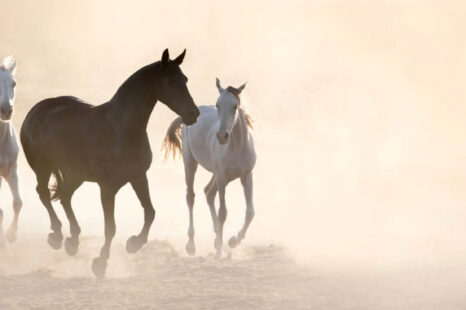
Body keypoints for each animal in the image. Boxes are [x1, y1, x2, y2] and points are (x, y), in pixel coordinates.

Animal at [20, 49, 198, 278]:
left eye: (185, 79)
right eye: (170, 81)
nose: (194, 113)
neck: (121, 129)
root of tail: (36, 111)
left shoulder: (138, 177)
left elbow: (150, 212)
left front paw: (134, 244)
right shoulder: (107, 188)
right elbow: (110, 227)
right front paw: (101, 263)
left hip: (76, 175)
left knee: (65, 196)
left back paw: (73, 241)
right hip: (43, 168)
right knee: (43, 193)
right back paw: (58, 235)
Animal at [163, 78, 256, 256]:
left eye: (235, 106)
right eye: (218, 105)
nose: (222, 136)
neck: (236, 146)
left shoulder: (246, 176)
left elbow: (250, 212)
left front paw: (233, 241)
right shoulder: (221, 178)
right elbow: (223, 213)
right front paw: (220, 249)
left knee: (208, 192)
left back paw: (216, 238)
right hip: (190, 164)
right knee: (191, 197)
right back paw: (191, 245)